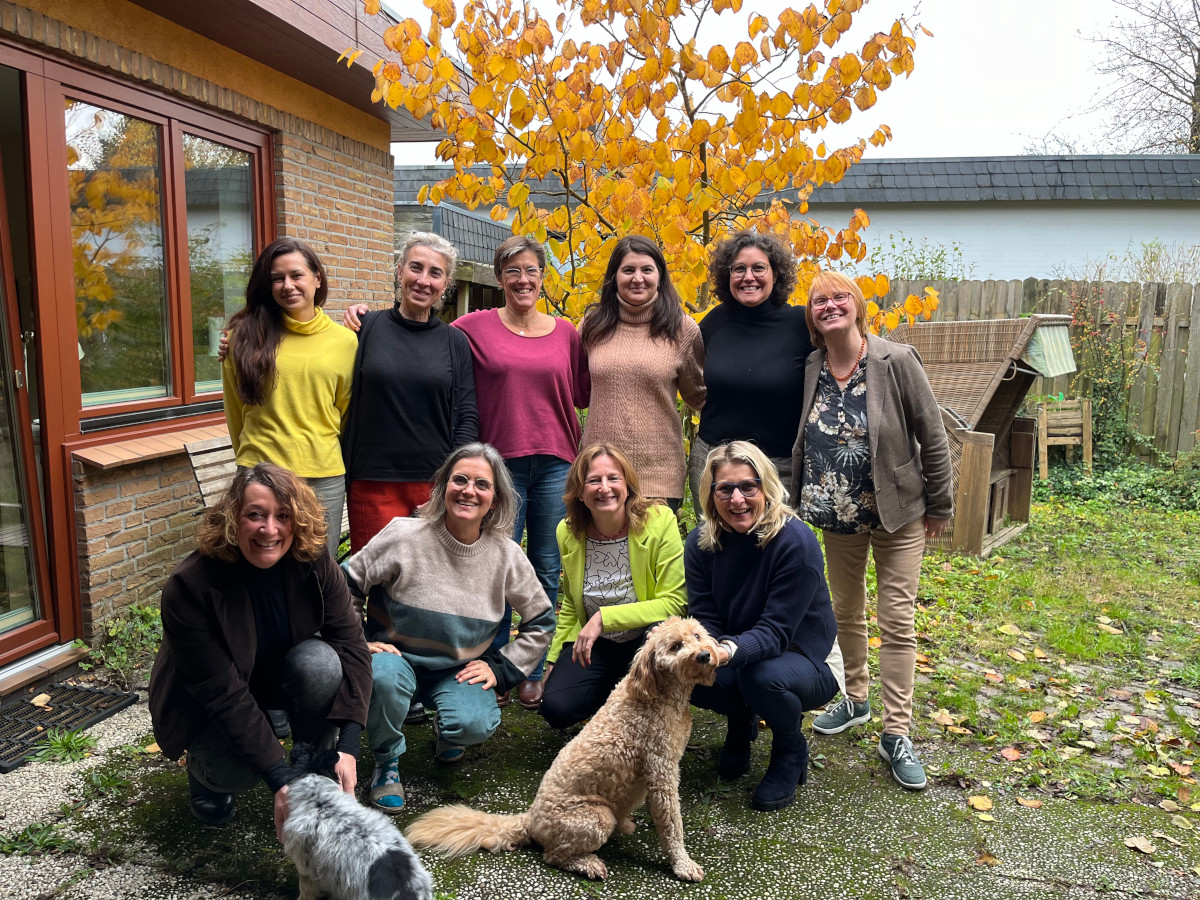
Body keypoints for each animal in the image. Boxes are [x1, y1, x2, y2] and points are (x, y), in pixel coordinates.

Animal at [403, 619, 720, 883]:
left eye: (696, 635)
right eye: (675, 646)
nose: (705, 655)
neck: (658, 694)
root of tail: (530, 820)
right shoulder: (662, 773)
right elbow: (672, 825)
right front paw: (682, 865)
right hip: (597, 816)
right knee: (553, 855)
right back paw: (588, 863)